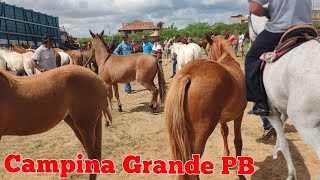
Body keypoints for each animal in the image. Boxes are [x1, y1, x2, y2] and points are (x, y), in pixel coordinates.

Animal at [165, 35, 248, 180]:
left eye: (207, 49)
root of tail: (188, 74)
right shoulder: (239, 115)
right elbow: (238, 141)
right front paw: (240, 175)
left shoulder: (222, 119)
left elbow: (224, 132)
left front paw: (227, 155)